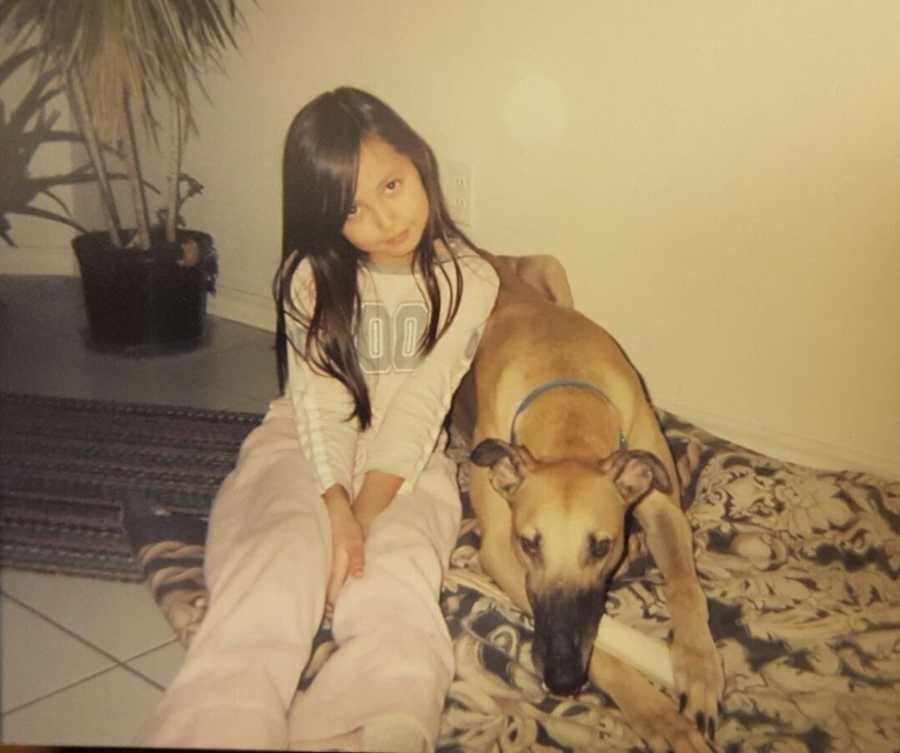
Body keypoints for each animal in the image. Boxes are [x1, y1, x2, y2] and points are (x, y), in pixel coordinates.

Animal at [458, 253, 724, 752]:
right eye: (529, 544)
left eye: (603, 546)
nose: (561, 680)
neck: (569, 412)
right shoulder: (500, 552)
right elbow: (604, 651)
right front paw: (659, 715)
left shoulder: (664, 506)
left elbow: (685, 584)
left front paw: (698, 666)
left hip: (553, 268)